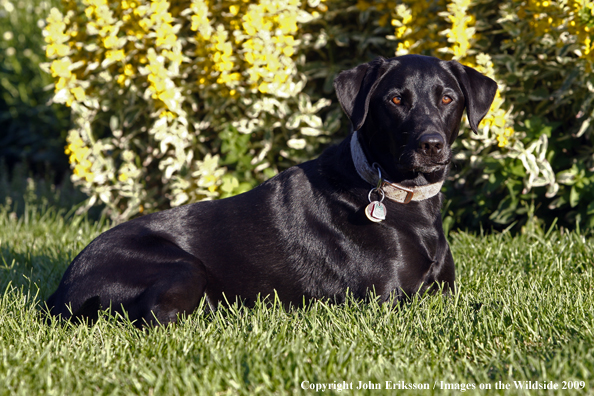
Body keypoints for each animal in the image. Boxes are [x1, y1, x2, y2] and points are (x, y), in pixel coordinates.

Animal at [47, 56, 494, 328]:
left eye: (448, 98)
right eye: (396, 99)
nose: (431, 145)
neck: (400, 197)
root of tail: (61, 290)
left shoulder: (444, 292)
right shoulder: (386, 302)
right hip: (182, 267)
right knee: (155, 315)